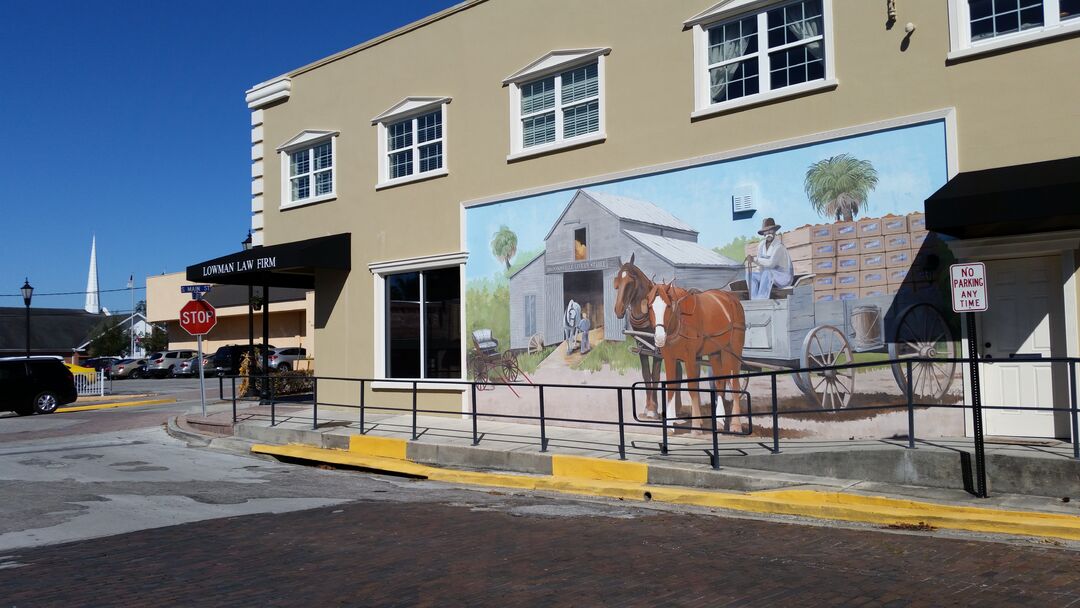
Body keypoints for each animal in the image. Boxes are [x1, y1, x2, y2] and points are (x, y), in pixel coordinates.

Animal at [643, 282, 747, 436]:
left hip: (733, 350)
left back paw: (735, 425)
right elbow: (671, 387)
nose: (660, 338)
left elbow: (692, 388)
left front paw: (696, 426)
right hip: (715, 352)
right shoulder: (669, 358)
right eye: (650, 306)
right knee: (720, 382)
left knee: (734, 384)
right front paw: (670, 426)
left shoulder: (690, 357)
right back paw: (720, 422)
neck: (680, 320)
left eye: (668, 306)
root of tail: (731, 299)